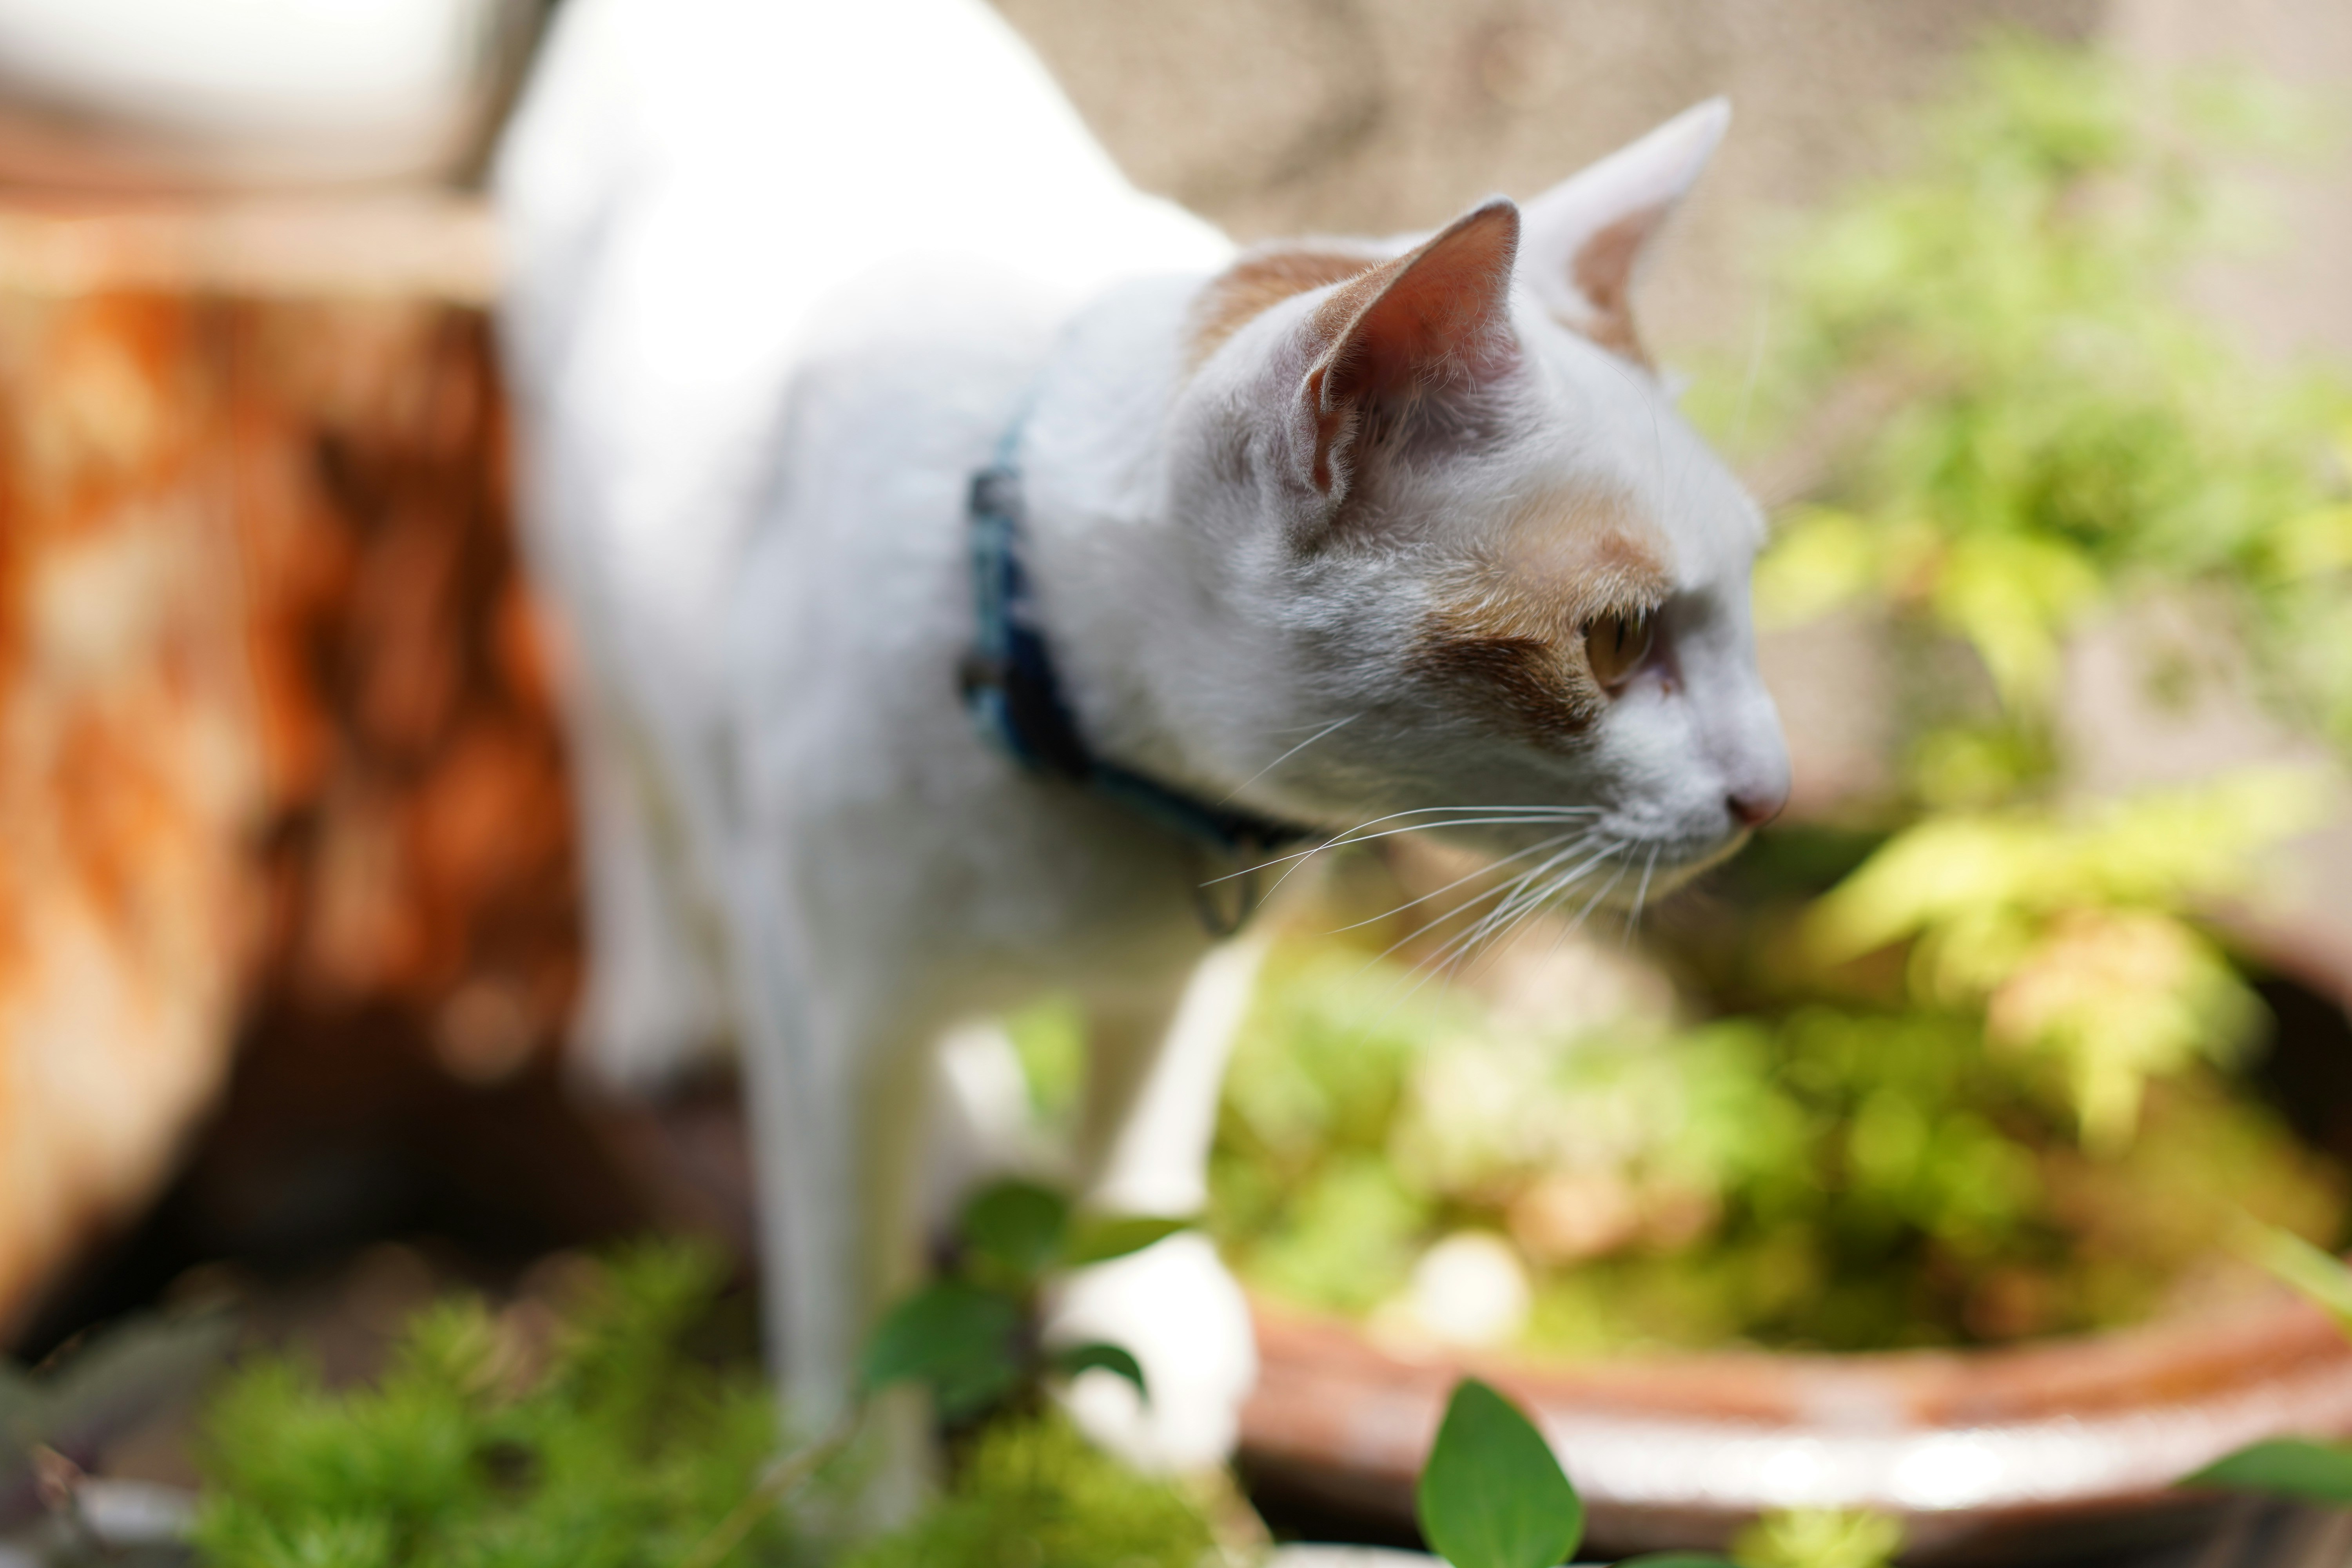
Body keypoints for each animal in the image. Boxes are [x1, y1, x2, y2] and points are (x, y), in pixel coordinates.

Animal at [496, 0, 1778, 1486]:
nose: (1773, 792)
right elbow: (848, 1277)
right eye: (1618, 642)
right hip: (571, 543)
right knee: (623, 766)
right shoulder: (823, 1017)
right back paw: (660, 992)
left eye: (1747, 592)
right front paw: (858, 1492)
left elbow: (1137, 1151)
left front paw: (1131, 1333)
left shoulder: (1189, 964)